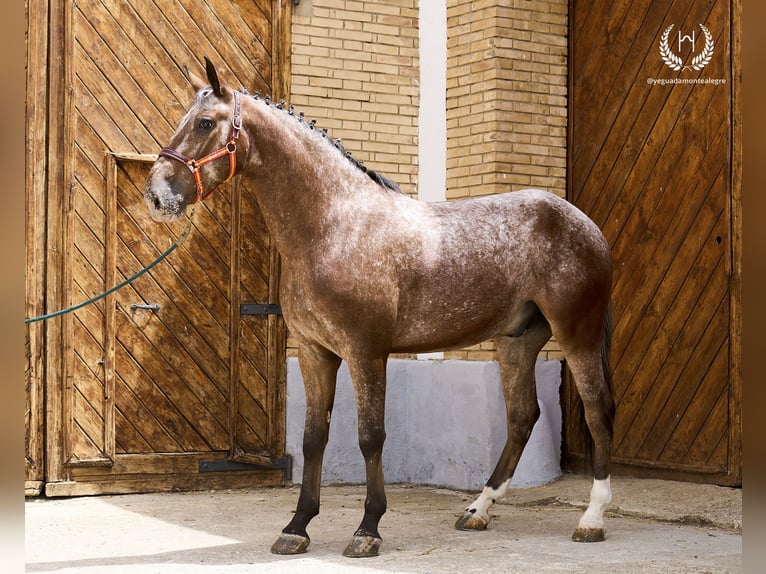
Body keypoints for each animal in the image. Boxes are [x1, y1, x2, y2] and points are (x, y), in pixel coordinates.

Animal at [141, 60, 616, 560]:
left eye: (204, 123)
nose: (157, 196)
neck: (334, 224)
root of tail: (585, 224)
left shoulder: (366, 351)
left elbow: (371, 436)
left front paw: (367, 528)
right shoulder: (314, 352)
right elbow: (313, 438)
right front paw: (297, 526)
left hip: (577, 334)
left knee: (597, 409)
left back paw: (591, 518)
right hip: (517, 342)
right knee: (522, 417)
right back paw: (478, 509)